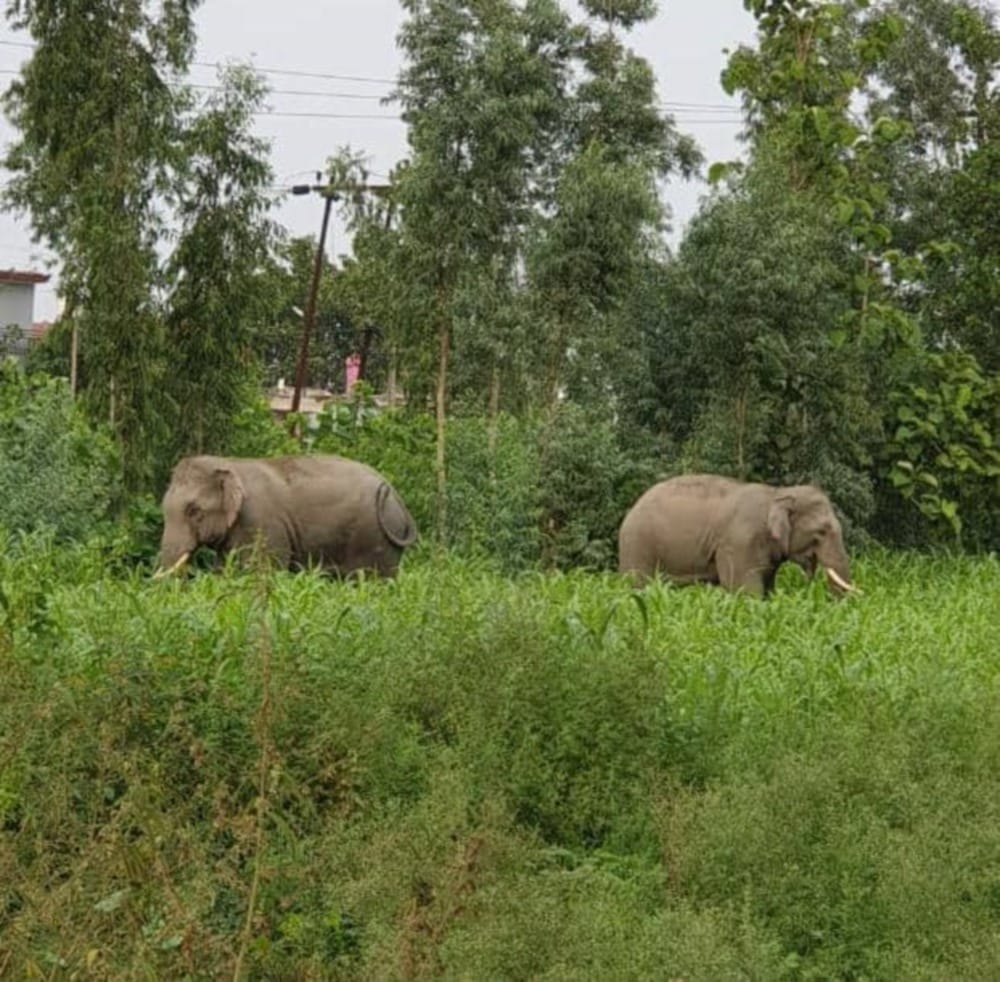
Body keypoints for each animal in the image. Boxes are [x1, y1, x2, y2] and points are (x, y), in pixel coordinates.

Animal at [157, 454, 417, 578]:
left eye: (194, 511)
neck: (229, 464)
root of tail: (394, 493)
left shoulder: (261, 525)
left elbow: (263, 571)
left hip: (375, 539)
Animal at [618, 474, 856, 597]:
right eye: (822, 531)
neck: (777, 493)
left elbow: (767, 588)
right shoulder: (739, 544)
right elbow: (745, 590)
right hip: (637, 545)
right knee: (639, 585)